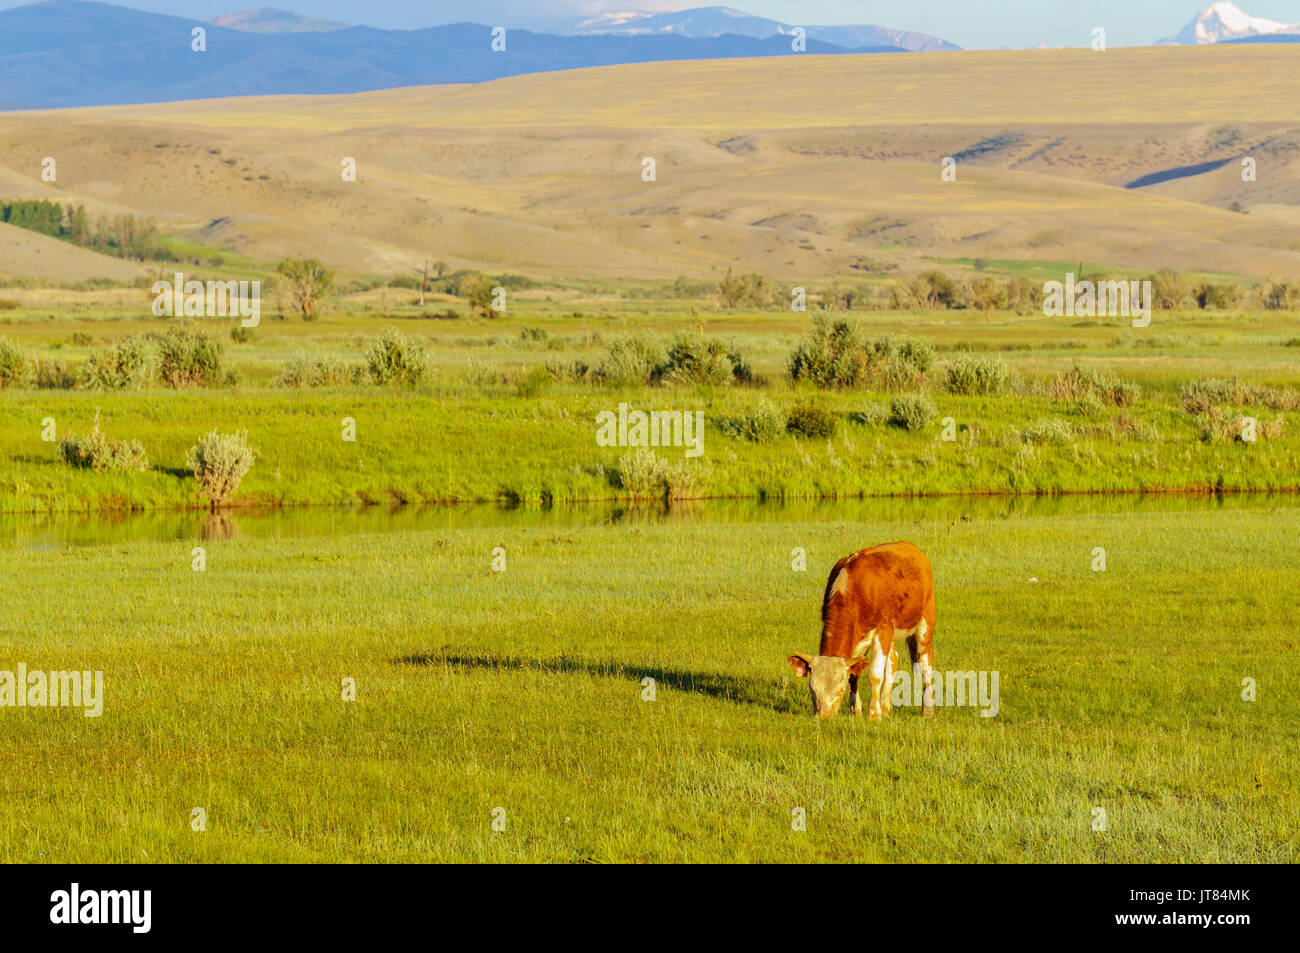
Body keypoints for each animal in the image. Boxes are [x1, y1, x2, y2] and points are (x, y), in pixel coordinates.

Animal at [786, 541, 935, 721]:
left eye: (840, 690)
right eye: (812, 689)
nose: (824, 718)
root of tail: (910, 546)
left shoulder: (882, 630)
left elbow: (875, 674)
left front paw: (874, 715)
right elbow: (854, 673)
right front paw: (856, 711)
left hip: (925, 621)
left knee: (925, 662)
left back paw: (927, 710)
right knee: (893, 658)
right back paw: (886, 707)